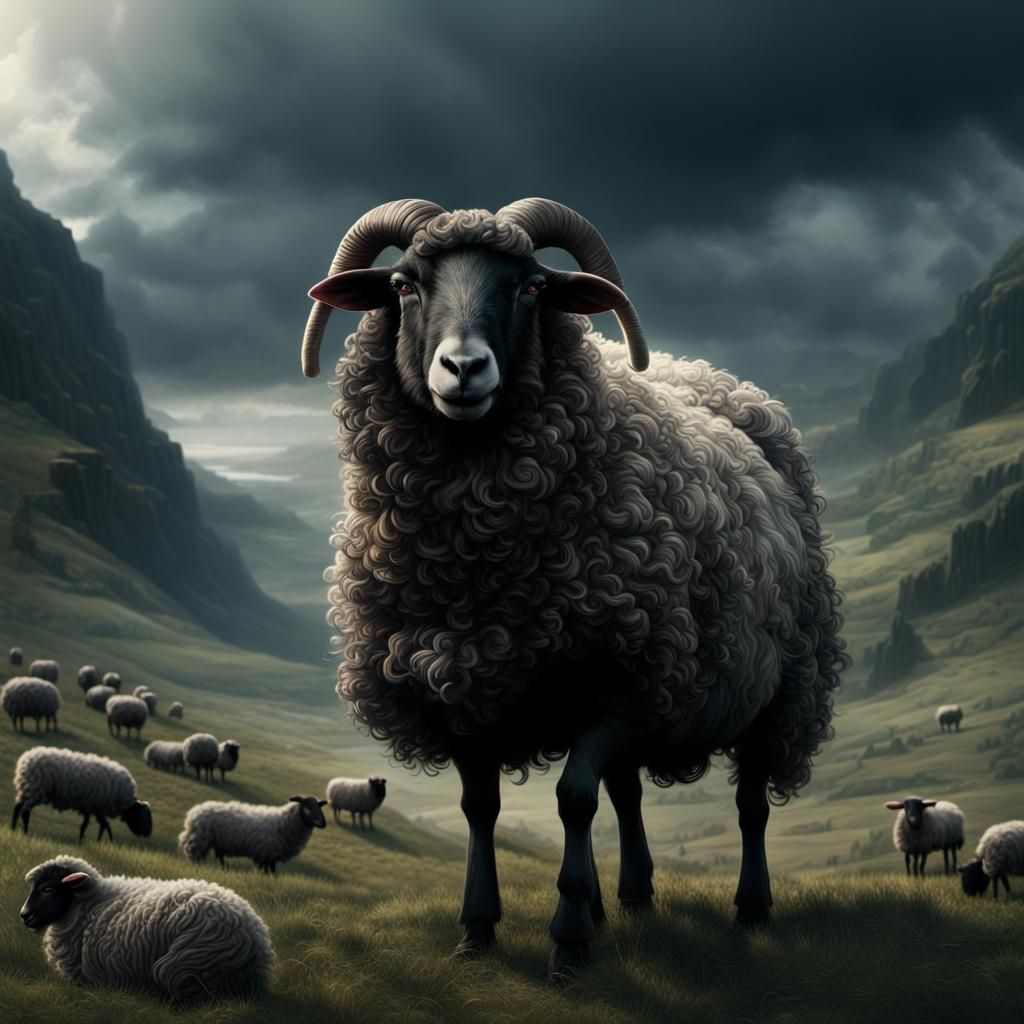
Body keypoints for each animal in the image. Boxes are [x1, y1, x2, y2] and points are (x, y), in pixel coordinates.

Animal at [11, 746, 152, 842]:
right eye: (144, 816)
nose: (148, 834)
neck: (125, 803)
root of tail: (25, 760)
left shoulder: (92, 807)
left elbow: (97, 825)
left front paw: (96, 842)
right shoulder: (96, 807)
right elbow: (98, 825)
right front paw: (103, 842)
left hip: (26, 790)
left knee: (17, 808)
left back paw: (12, 828)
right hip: (35, 790)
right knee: (25, 813)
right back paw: (25, 833)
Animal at [179, 796, 326, 873]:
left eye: (319, 807)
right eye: (306, 807)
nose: (321, 823)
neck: (282, 823)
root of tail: (194, 812)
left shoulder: (269, 856)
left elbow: (272, 873)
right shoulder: (264, 854)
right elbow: (266, 871)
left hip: (213, 841)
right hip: (199, 839)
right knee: (193, 854)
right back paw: (198, 867)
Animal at [301, 198, 847, 974]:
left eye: (531, 287)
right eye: (404, 285)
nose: (463, 368)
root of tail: (710, 379)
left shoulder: (618, 683)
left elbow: (573, 800)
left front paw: (568, 940)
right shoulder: (461, 687)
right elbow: (483, 809)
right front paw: (479, 929)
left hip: (781, 686)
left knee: (749, 803)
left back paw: (748, 907)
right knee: (630, 792)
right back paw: (632, 896)